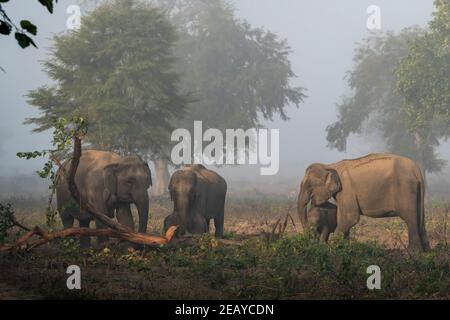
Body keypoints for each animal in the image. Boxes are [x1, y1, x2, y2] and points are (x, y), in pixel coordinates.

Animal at [298, 154, 430, 251]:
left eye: (309, 186)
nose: (309, 240)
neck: (331, 165)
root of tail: (417, 170)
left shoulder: (347, 190)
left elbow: (350, 218)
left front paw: (332, 248)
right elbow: (342, 217)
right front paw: (343, 248)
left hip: (406, 189)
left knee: (410, 219)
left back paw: (413, 252)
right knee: (420, 220)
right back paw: (426, 252)